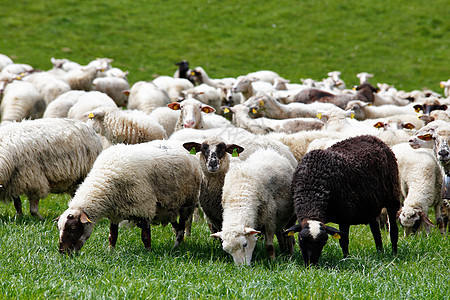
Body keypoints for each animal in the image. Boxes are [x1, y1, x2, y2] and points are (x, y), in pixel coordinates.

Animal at [56, 140, 202, 253]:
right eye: (59, 228)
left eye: (73, 229)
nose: (63, 252)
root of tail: (186, 151)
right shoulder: (115, 213)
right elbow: (112, 236)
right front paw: (111, 252)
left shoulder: (144, 208)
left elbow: (146, 237)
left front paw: (148, 254)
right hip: (168, 208)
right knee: (177, 228)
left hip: (186, 204)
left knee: (181, 229)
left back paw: (176, 247)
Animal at [284, 135, 400, 264]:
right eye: (301, 239)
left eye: (324, 241)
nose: (311, 264)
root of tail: (373, 137)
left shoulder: (345, 215)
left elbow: (344, 241)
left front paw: (346, 259)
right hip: (370, 206)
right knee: (375, 230)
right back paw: (380, 252)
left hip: (392, 197)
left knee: (393, 229)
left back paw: (394, 253)